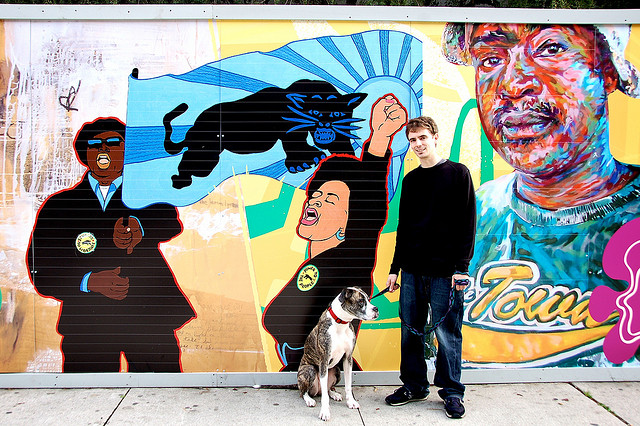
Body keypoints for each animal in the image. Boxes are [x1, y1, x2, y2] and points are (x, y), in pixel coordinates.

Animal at [163, 79, 367, 189]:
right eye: (314, 113)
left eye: (338, 114)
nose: (326, 123)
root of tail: (194, 127)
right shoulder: (290, 131)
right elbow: (294, 143)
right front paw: (303, 163)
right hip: (206, 153)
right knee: (190, 164)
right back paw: (180, 181)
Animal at [297, 286, 379, 421]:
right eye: (361, 301)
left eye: (368, 299)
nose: (376, 309)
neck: (341, 323)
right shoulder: (324, 360)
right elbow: (324, 397)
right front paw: (325, 412)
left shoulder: (348, 358)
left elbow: (348, 385)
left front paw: (351, 402)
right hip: (309, 370)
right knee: (305, 392)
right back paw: (309, 400)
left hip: (336, 370)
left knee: (327, 389)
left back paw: (334, 394)